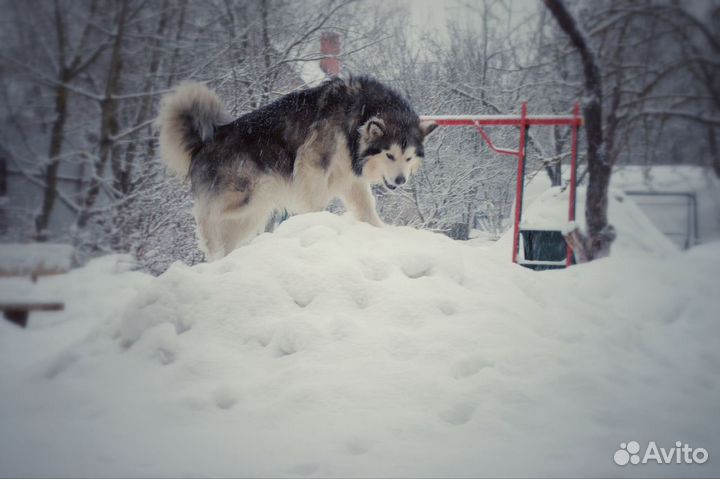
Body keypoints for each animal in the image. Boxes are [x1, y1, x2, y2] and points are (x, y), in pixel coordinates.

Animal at [157, 76, 436, 260]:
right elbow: (315, 203)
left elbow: (367, 208)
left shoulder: (350, 179)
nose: (400, 181)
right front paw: (316, 224)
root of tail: (207, 140)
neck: (356, 119)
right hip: (250, 194)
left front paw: (382, 231)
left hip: (253, 212)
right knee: (206, 216)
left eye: (408, 158)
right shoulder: (312, 167)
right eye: (390, 155)